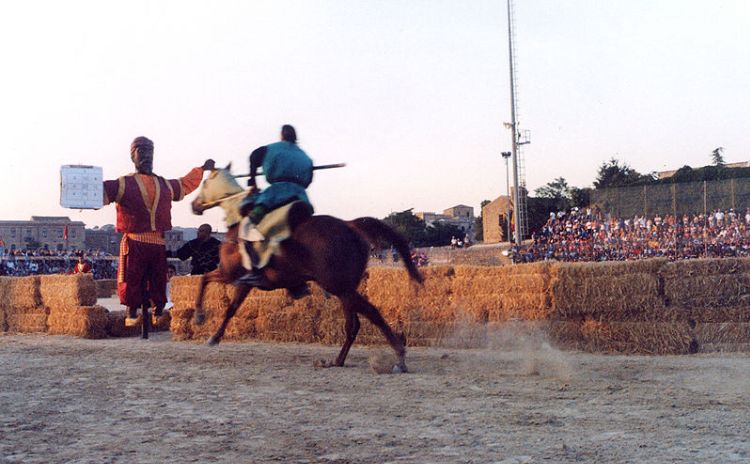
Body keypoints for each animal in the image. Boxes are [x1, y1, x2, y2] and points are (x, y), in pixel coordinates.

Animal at [189, 165, 424, 372]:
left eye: (204, 184)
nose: (194, 205)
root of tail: (350, 225)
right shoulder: (242, 282)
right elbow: (228, 304)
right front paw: (213, 333)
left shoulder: (231, 275)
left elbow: (206, 282)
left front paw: (203, 322)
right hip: (344, 289)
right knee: (353, 324)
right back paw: (338, 361)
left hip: (338, 286)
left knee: (370, 314)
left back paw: (399, 358)